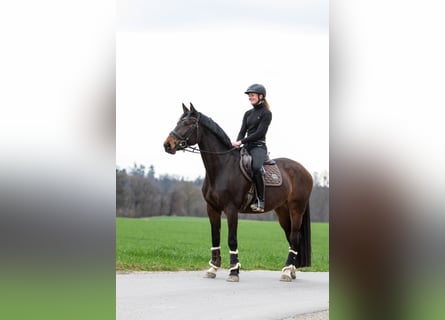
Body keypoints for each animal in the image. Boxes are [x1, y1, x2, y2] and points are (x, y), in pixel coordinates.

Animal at [163, 104, 312, 282]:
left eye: (189, 123)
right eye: (179, 122)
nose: (167, 145)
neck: (223, 167)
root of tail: (305, 170)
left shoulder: (231, 209)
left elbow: (232, 240)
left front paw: (234, 271)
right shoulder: (212, 209)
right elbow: (215, 237)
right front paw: (213, 268)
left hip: (297, 209)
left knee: (295, 237)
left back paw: (286, 272)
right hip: (282, 211)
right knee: (290, 237)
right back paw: (291, 270)